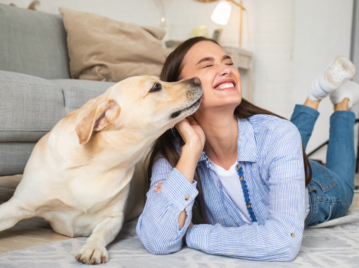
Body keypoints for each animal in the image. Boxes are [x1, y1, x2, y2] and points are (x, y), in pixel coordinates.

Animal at [0, 75, 202, 264]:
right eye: (156, 87)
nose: (197, 80)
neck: (93, 166)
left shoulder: (113, 218)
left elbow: (99, 233)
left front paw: (92, 248)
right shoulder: (17, 206)